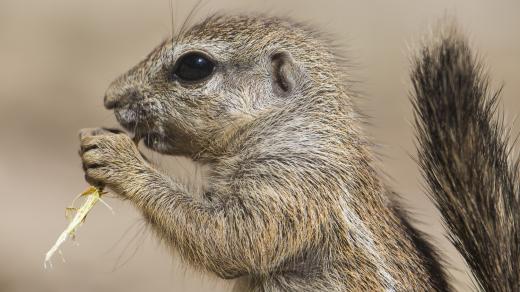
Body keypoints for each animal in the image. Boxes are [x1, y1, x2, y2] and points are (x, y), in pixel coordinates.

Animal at [78, 14, 520, 292]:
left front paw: (114, 155)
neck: (295, 125)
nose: (110, 97)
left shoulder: (293, 184)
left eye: (194, 65)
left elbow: (229, 239)